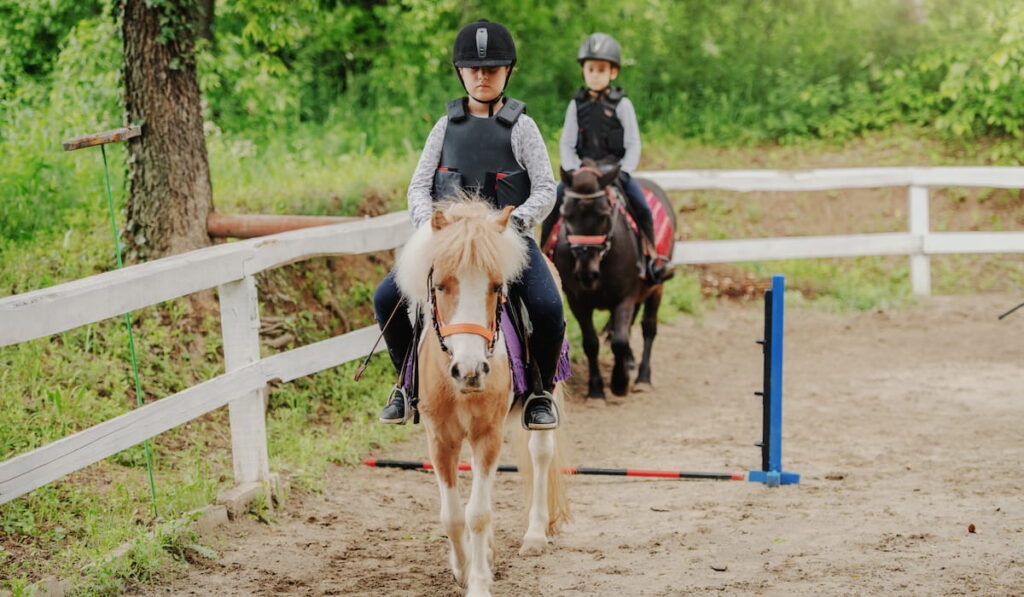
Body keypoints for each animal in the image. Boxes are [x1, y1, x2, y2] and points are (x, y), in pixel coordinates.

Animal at [393, 199, 573, 597]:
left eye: (495, 287)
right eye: (440, 286)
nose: (470, 370)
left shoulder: (486, 435)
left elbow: (477, 513)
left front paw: (477, 582)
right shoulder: (441, 439)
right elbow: (452, 515)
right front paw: (462, 568)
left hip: (545, 394)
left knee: (541, 454)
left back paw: (535, 535)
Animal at [552, 163, 671, 403]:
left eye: (603, 216)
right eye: (565, 215)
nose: (587, 274)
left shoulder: (625, 298)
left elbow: (619, 341)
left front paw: (619, 383)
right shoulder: (577, 302)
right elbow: (591, 343)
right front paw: (596, 390)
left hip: (656, 289)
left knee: (648, 329)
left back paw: (643, 378)